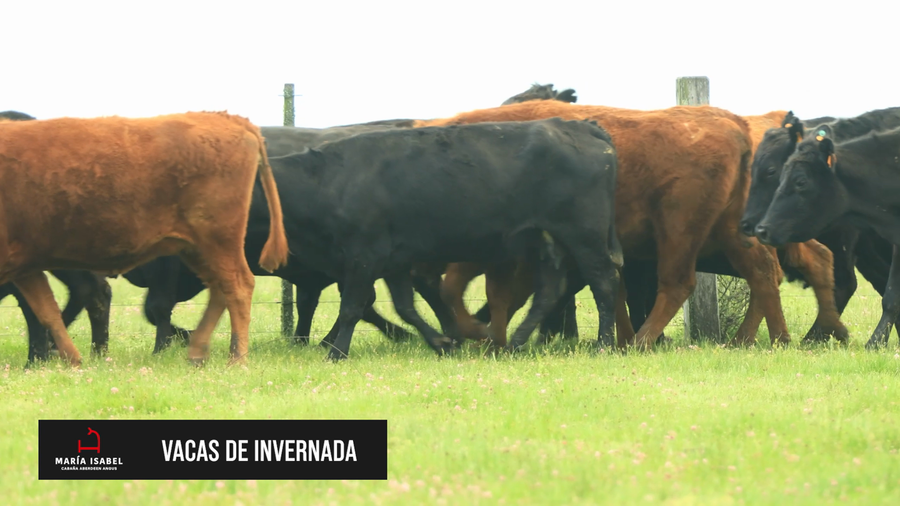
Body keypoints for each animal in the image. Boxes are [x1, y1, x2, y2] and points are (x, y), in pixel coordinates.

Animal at [0, 111, 288, 366]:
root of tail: (227, 118)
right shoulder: (27, 268)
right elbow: (47, 311)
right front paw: (73, 360)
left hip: (218, 242)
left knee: (238, 287)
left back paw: (236, 359)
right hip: (197, 249)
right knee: (220, 289)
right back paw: (197, 352)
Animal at [260, 117, 622, 360]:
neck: (329, 181)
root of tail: (577, 126)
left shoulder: (364, 257)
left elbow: (352, 307)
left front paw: (336, 353)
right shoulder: (392, 261)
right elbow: (405, 307)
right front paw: (443, 343)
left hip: (585, 237)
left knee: (604, 285)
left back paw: (604, 344)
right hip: (546, 241)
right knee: (550, 291)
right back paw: (514, 343)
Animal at [416, 100, 790, 350]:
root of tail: (734, 124)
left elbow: (474, 289)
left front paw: (482, 335)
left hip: (677, 228)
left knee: (679, 283)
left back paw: (641, 342)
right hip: (732, 231)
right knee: (763, 275)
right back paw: (770, 340)